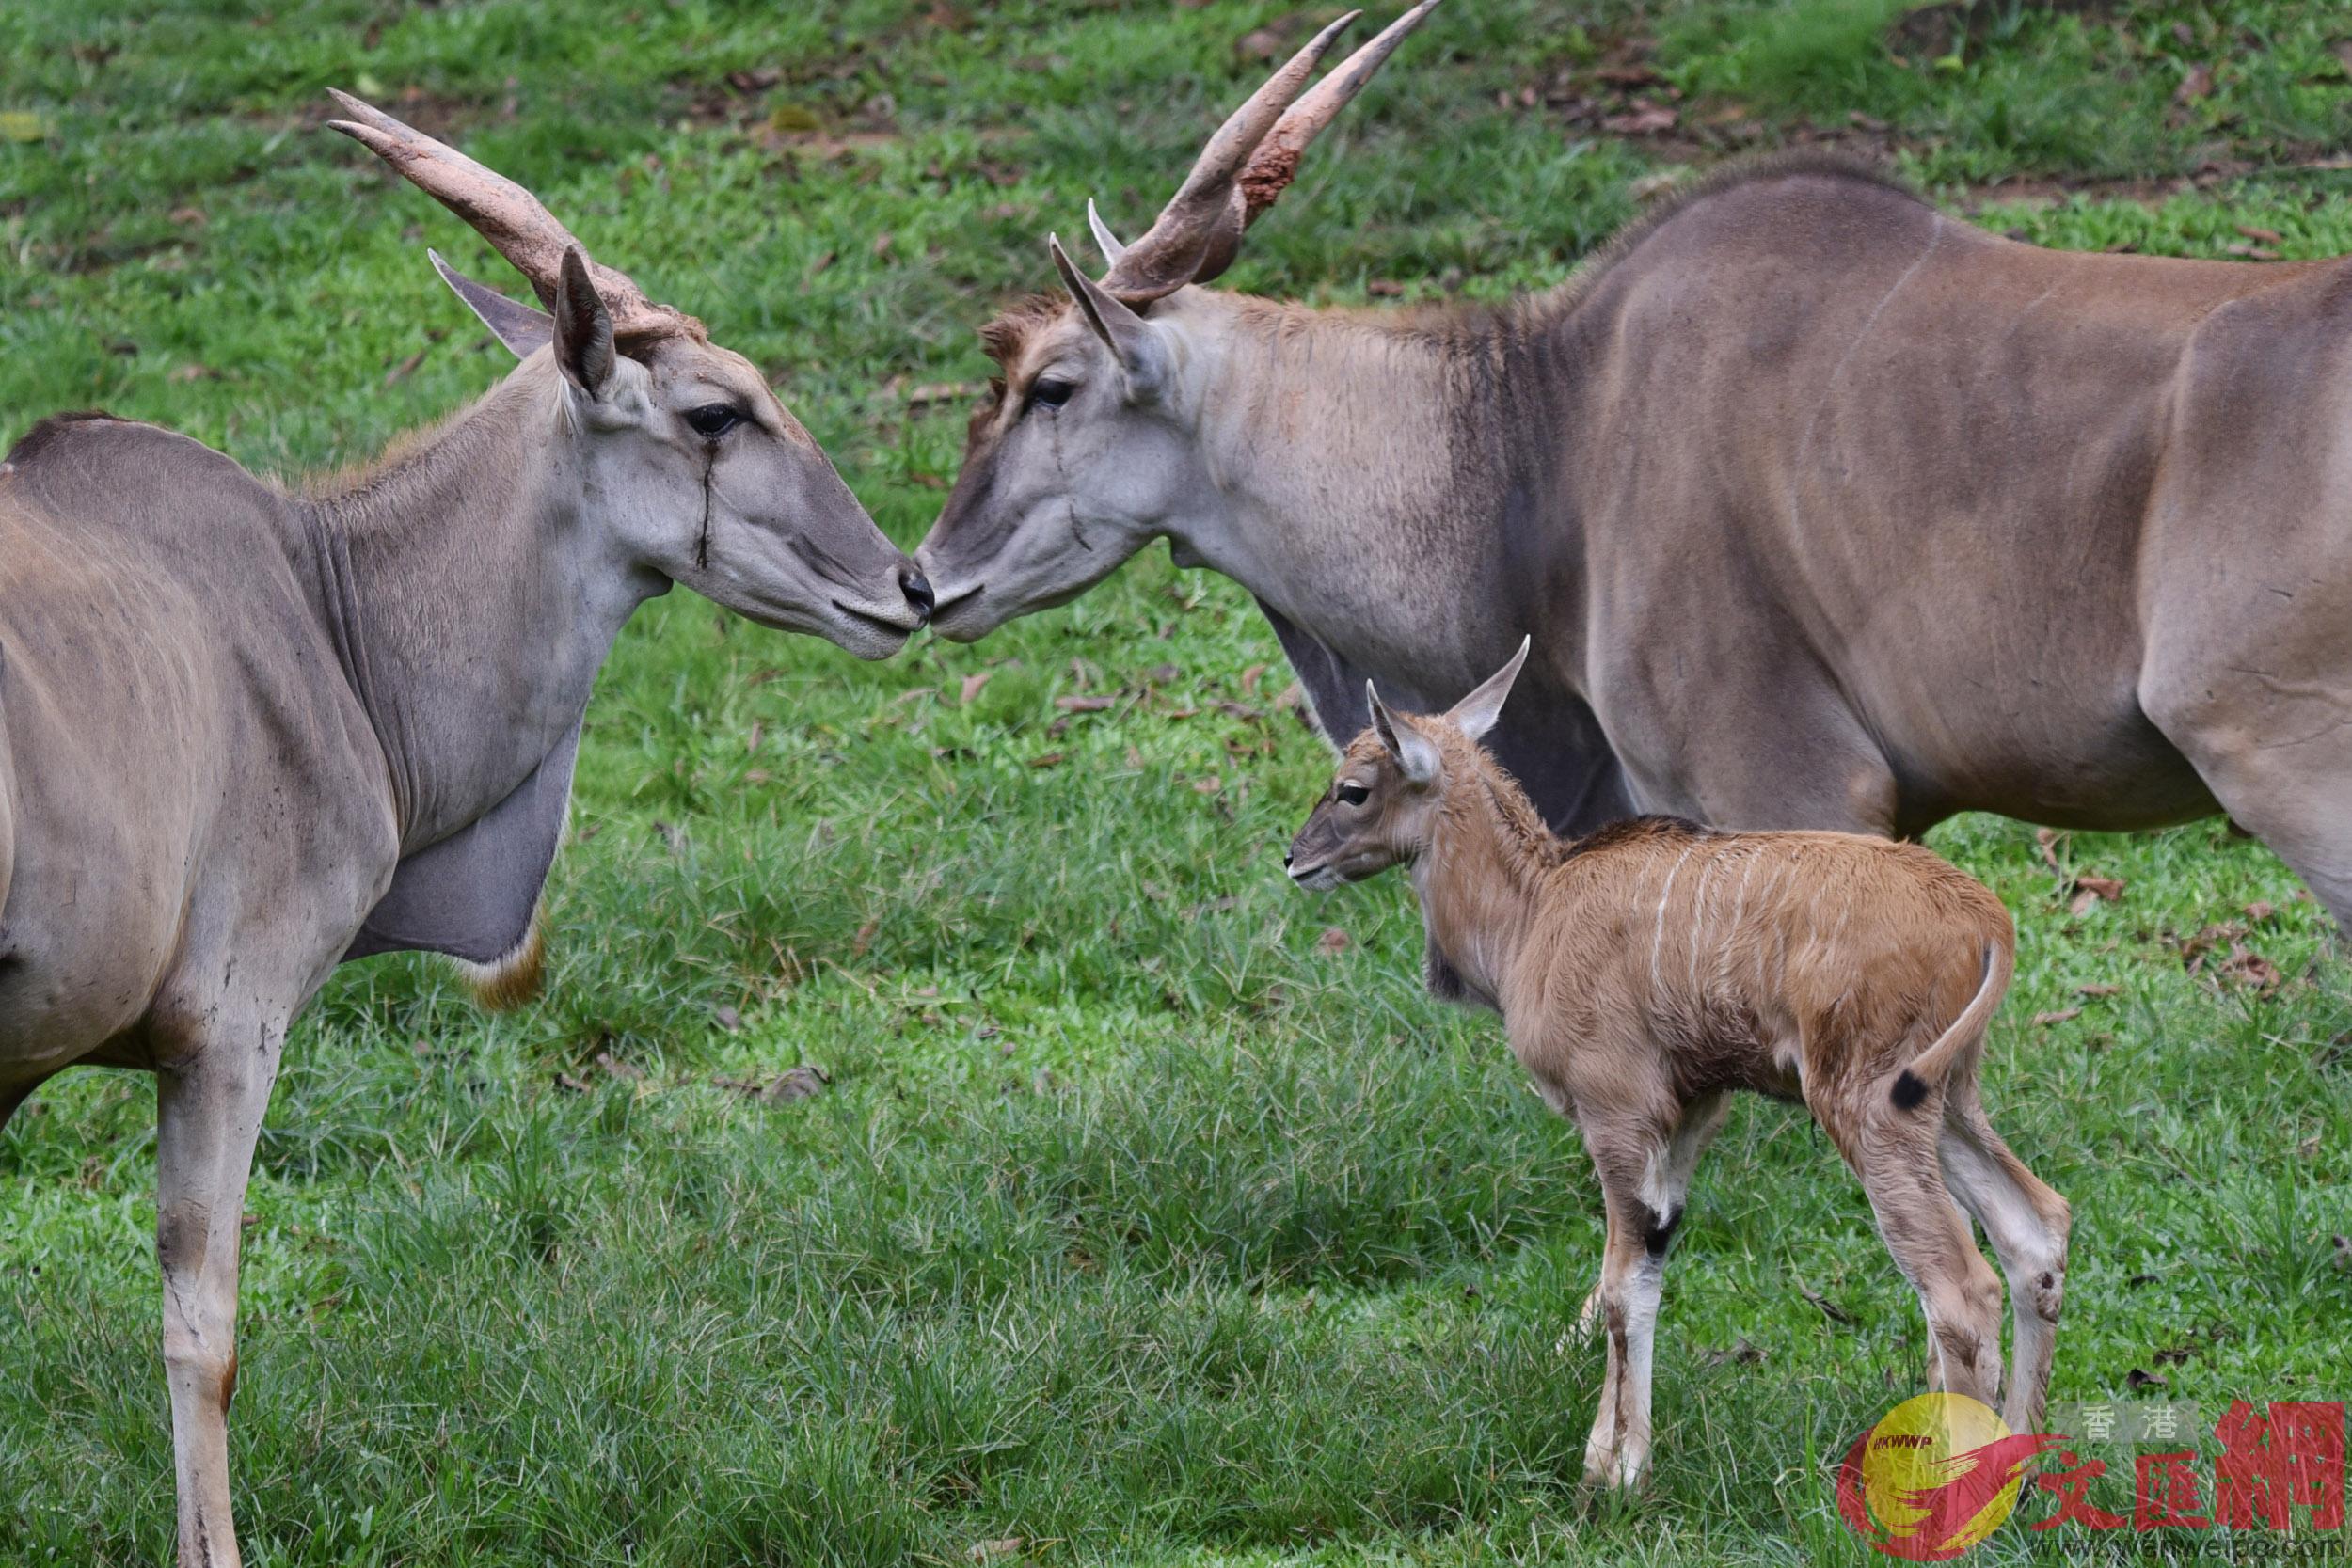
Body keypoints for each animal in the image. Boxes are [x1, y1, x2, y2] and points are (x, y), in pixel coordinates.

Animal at [1289, 643, 2079, 1495]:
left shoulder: (1618, 1113)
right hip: (1947, 1095)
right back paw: (2022, 1464)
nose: (1296, 857)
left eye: (1354, 788)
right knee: (2035, 1233)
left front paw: (1614, 1471)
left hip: (1870, 1105)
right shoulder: (1693, 1111)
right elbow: (1646, 1268)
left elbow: (1618, 1285)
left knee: (1962, 1291)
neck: (1535, 909)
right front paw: (1615, 1455)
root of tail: (1984, 917)